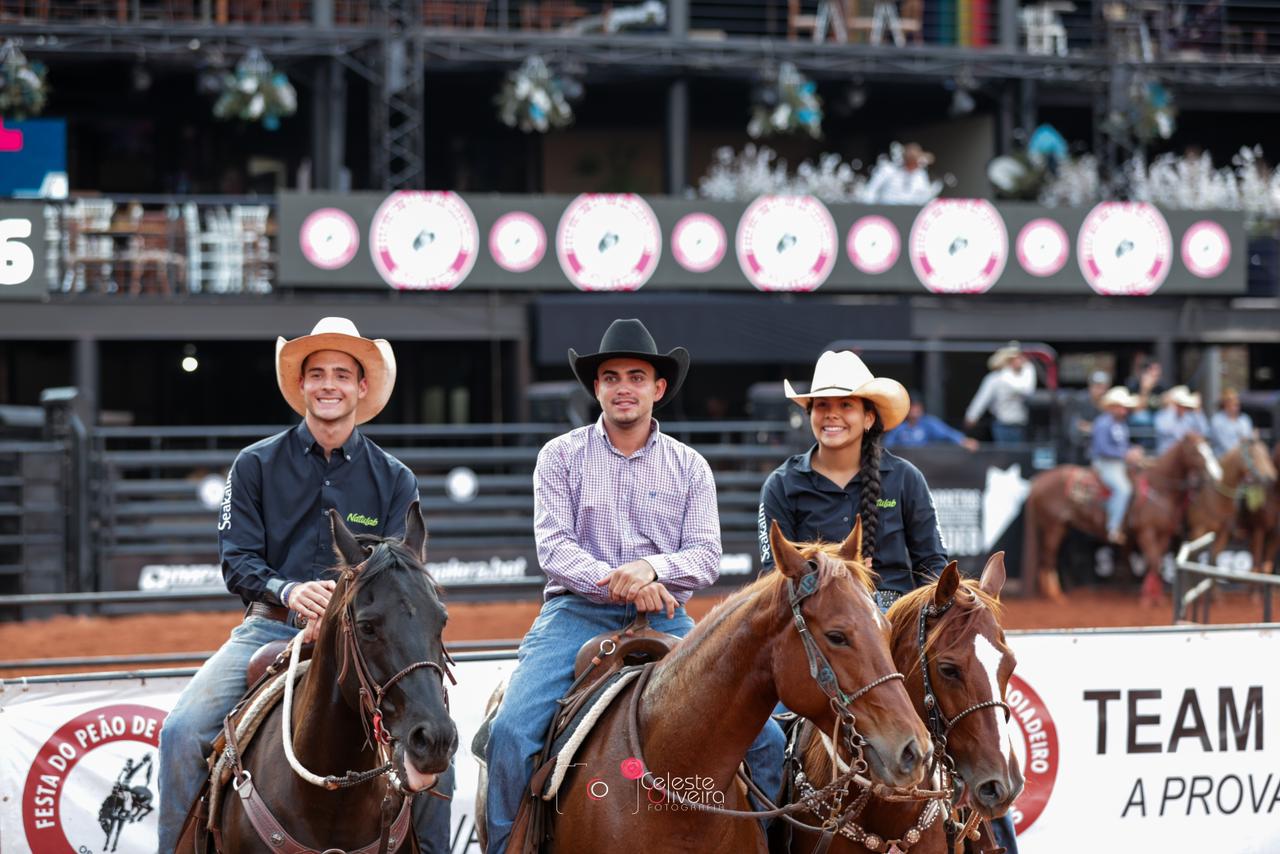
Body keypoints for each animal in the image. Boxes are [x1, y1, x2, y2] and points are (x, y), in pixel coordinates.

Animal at [1018, 435, 1218, 606]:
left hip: (1060, 527)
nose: (1213, 476)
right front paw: (1147, 599)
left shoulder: (1163, 534)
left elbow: (1156, 562)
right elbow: (1153, 562)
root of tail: (1038, 480)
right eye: (1195, 451)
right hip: (1053, 527)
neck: (1158, 487)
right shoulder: (1146, 532)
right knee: (1048, 559)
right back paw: (1056, 596)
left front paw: (1155, 596)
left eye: (1208, 448)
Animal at [1182, 440, 1274, 568]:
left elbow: (1213, 560)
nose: (1270, 476)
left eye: (1266, 453)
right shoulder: (1197, 531)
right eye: (1252, 455)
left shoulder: (1223, 533)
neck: (1217, 498)